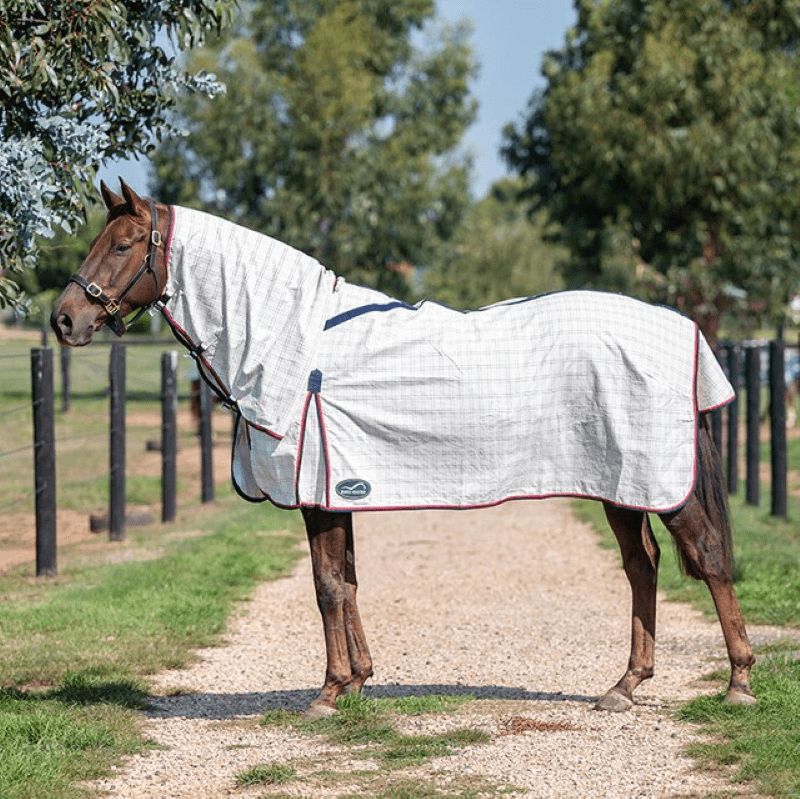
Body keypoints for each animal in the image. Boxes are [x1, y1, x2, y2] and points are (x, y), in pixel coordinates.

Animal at [51, 180, 756, 718]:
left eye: (121, 245)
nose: (63, 320)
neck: (292, 342)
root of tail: (682, 327)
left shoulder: (317, 494)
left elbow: (326, 586)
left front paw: (329, 693)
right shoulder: (336, 493)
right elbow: (347, 581)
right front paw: (358, 680)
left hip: (657, 480)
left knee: (709, 558)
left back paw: (739, 683)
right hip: (620, 484)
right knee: (643, 566)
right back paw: (624, 686)